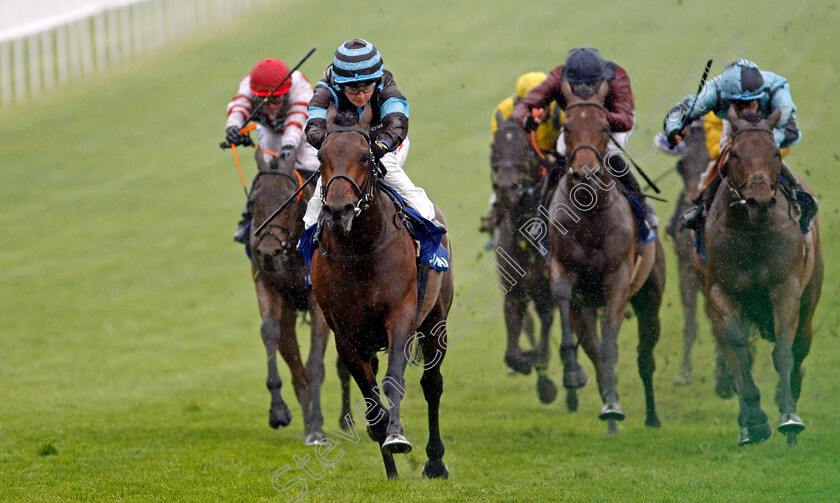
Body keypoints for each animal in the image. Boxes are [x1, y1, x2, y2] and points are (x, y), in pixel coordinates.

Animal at [248, 153, 350, 444]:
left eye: (289, 199)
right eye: (253, 201)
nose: (268, 252)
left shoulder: (318, 301)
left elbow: (316, 363)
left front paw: (317, 427)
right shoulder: (268, 285)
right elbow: (270, 332)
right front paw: (279, 412)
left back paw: (346, 418)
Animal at [310, 104, 452, 478]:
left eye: (365, 156)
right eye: (321, 156)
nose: (338, 211)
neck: (361, 249)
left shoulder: (400, 316)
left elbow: (393, 381)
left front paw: (397, 437)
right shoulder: (346, 335)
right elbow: (372, 403)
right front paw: (388, 456)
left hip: (436, 319)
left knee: (432, 384)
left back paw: (435, 461)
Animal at [548, 80, 668, 436]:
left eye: (603, 127)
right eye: (566, 127)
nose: (585, 173)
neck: (589, 215)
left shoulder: (618, 278)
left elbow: (611, 345)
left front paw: (615, 404)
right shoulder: (564, 269)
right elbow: (562, 295)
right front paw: (572, 373)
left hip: (650, 298)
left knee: (645, 357)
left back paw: (649, 416)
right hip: (586, 307)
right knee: (592, 348)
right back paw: (609, 411)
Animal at [704, 108, 820, 446]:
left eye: (775, 153)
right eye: (735, 153)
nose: (759, 201)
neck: (752, 233)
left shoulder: (786, 288)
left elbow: (783, 349)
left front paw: (789, 416)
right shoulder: (720, 291)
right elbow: (738, 346)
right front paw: (755, 421)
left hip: (809, 303)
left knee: (799, 345)